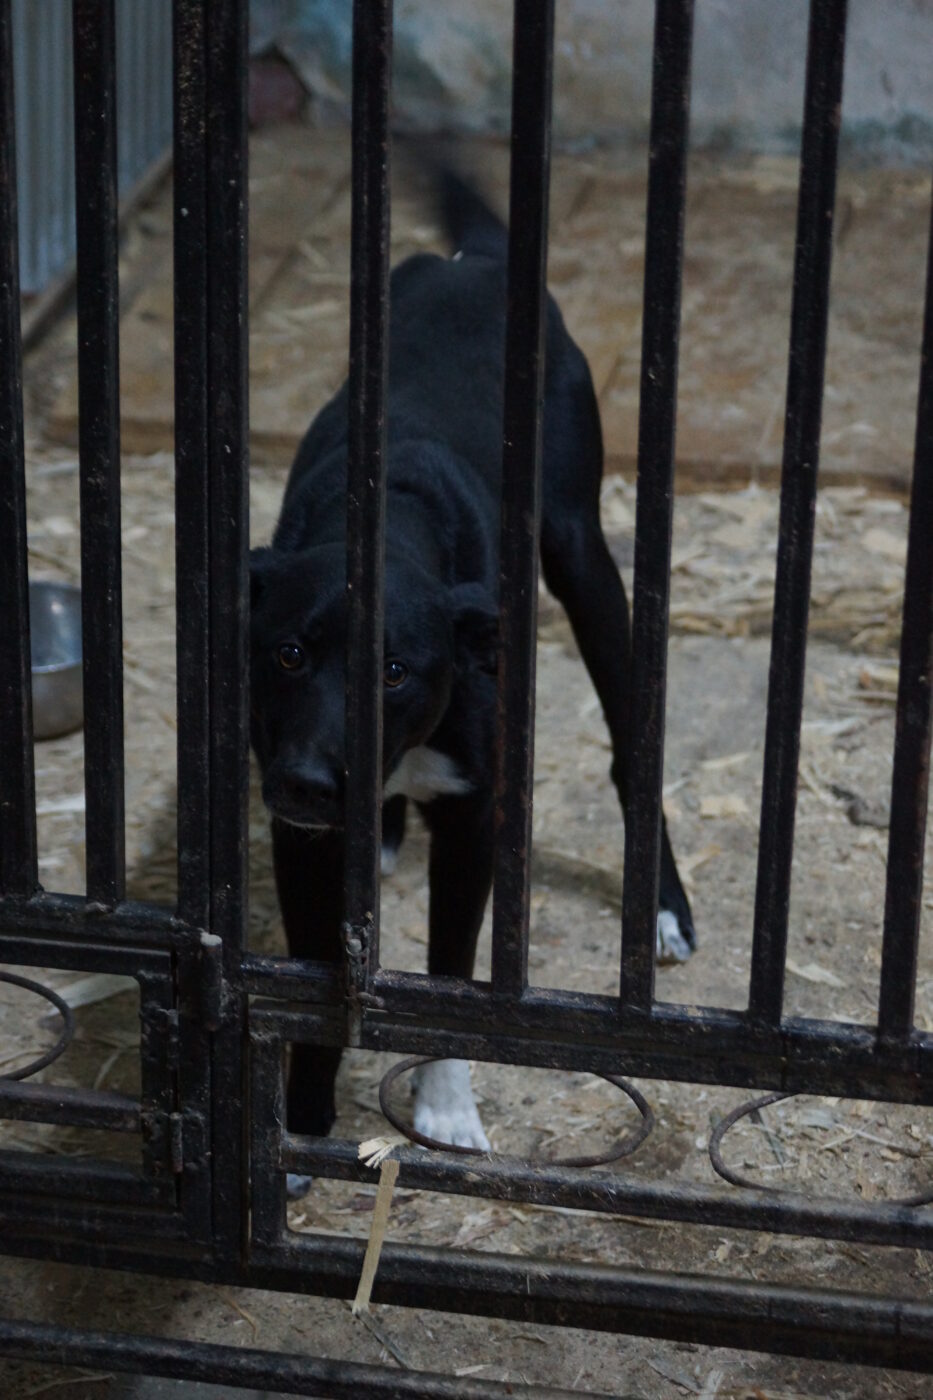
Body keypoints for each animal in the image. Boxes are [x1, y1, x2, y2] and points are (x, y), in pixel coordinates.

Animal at [246, 166, 689, 1192]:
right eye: (287, 654)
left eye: (396, 671)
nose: (306, 782)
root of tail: (475, 263)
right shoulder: (298, 840)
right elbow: (314, 983)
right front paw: (299, 1125)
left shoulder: (475, 817)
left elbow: (452, 977)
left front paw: (443, 1109)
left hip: (584, 557)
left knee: (631, 748)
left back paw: (662, 907)